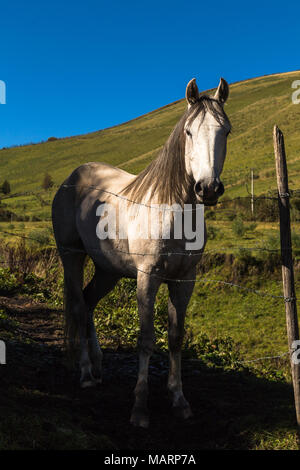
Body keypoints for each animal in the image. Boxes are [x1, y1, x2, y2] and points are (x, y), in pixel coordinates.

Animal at [51, 79, 231, 428]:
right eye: (189, 132)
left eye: (225, 131)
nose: (207, 188)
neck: (173, 210)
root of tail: (71, 179)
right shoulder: (147, 278)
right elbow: (146, 339)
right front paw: (140, 408)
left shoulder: (184, 280)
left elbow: (175, 337)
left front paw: (179, 400)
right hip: (72, 256)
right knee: (78, 306)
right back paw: (86, 374)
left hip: (107, 269)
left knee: (89, 301)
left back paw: (98, 365)